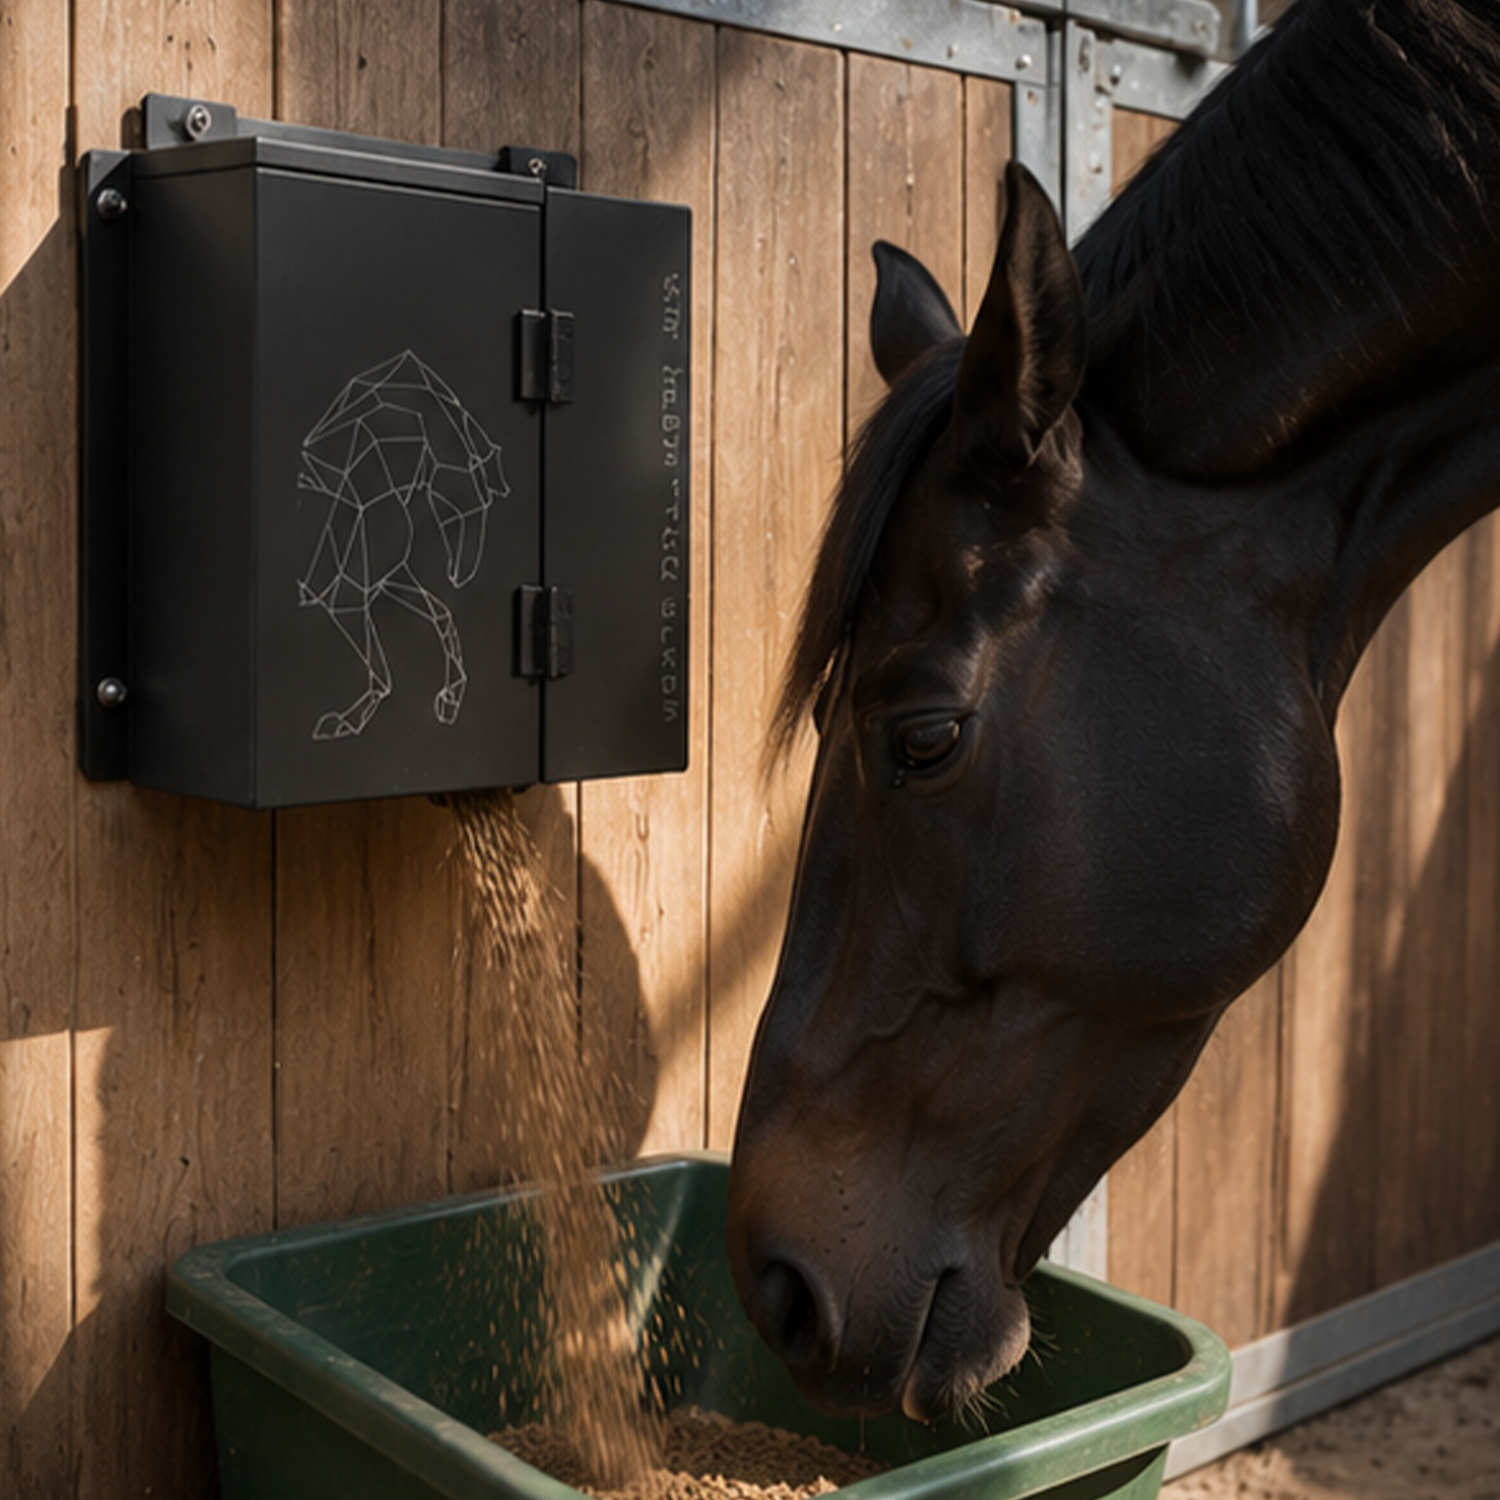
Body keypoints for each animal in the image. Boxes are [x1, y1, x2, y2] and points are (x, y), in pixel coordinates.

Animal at [296, 349, 507, 740]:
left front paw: (451, 698)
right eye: (478, 497)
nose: (461, 575)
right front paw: (350, 720)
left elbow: (441, 615)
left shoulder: (388, 578)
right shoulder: (350, 594)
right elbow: (382, 669)